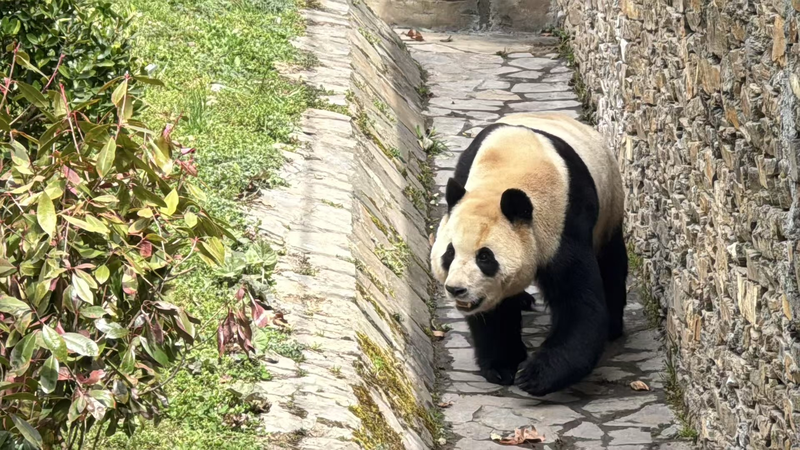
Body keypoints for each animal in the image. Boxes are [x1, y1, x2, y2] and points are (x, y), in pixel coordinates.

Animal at [430, 112, 628, 397]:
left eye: (484, 257)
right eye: (449, 253)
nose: (457, 289)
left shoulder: (566, 223)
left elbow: (580, 304)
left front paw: (534, 376)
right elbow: (494, 313)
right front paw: (503, 366)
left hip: (610, 205)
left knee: (611, 262)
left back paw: (613, 326)